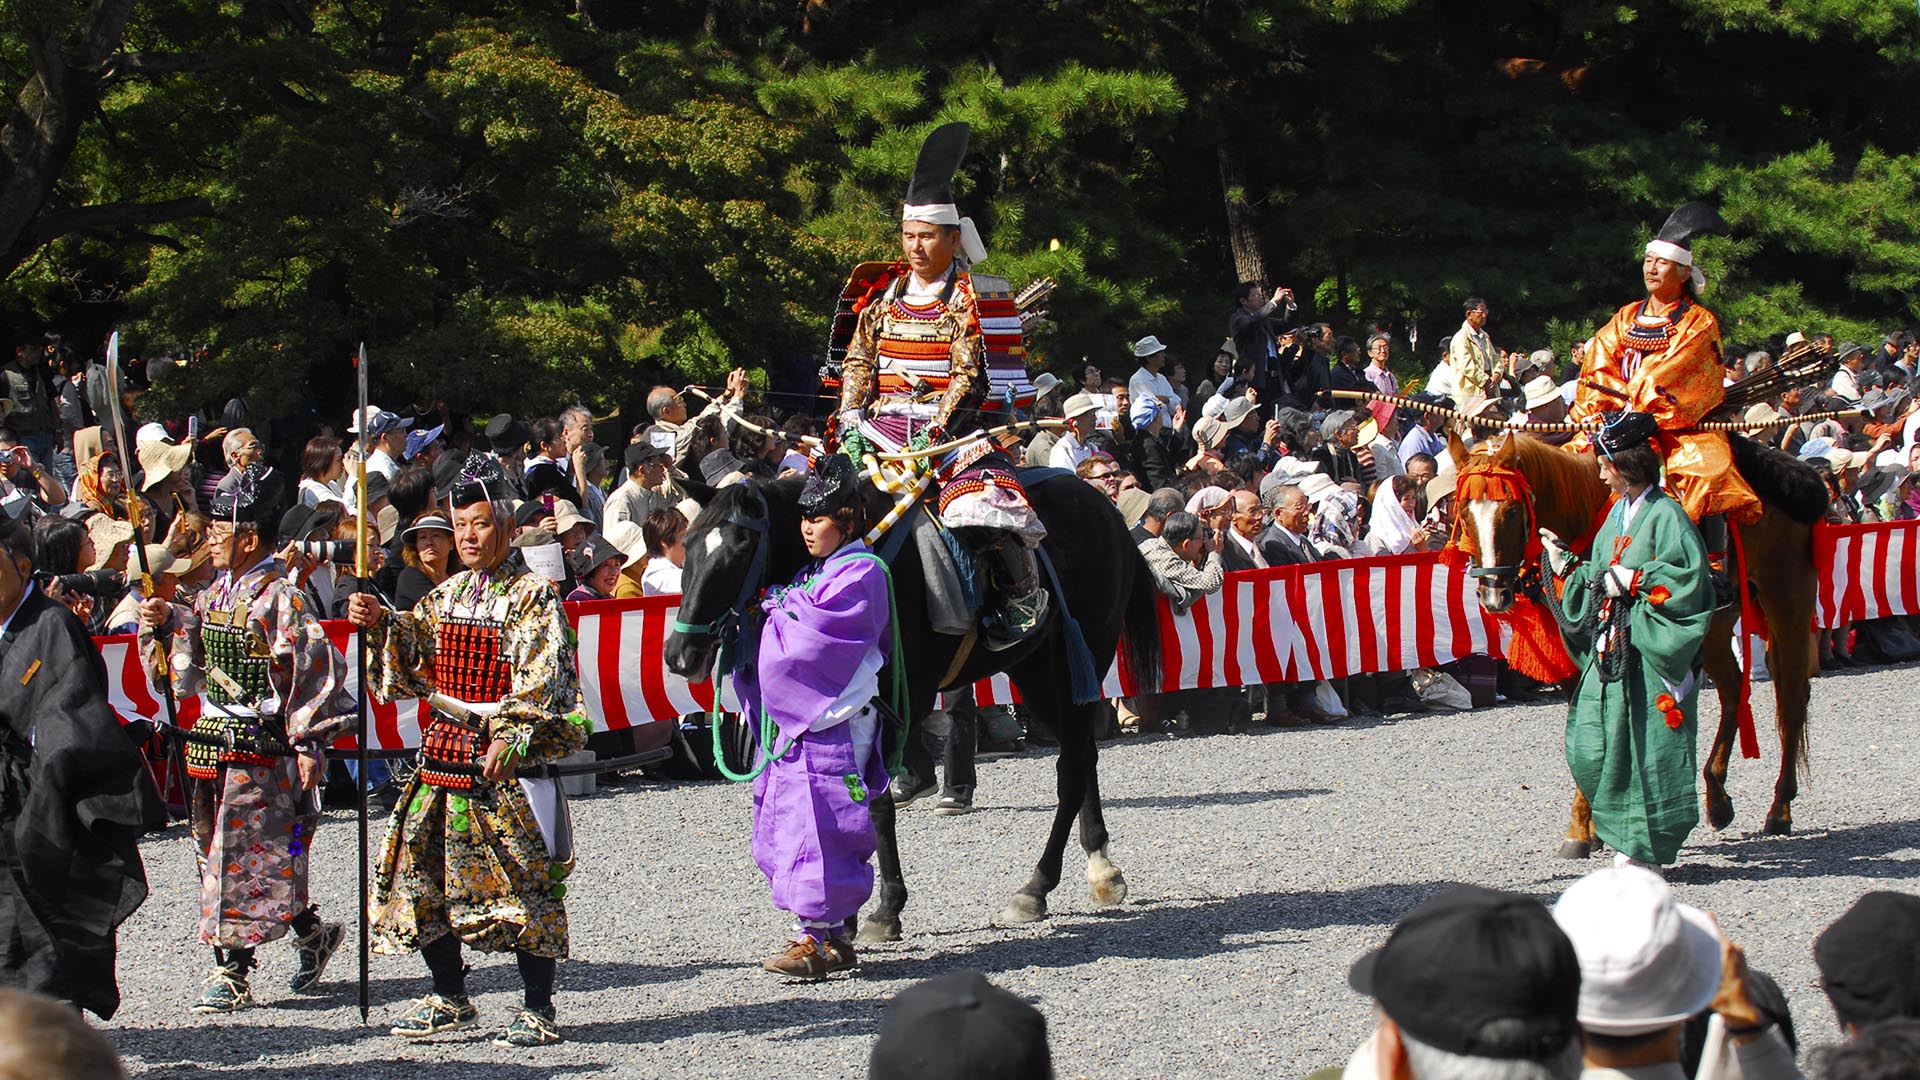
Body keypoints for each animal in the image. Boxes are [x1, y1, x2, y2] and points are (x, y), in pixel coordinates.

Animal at [660, 468, 1167, 933]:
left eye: (740, 547)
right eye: (689, 543)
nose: (680, 654)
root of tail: (1106, 510)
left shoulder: (903, 697)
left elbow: (877, 802)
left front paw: (884, 909)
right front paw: (844, 913)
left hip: (1078, 657)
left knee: (1072, 766)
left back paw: (1037, 886)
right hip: (1037, 669)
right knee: (1082, 757)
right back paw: (1101, 867)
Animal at [1451, 428, 1827, 849]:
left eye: (1513, 510)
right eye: (1464, 510)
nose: (1493, 594)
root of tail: (1797, 472)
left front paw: (1584, 828)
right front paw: (1588, 825)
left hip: (1787, 597)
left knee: (1791, 699)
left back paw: (1780, 808)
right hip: (1713, 623)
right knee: (1733, 692)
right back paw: (1717, 798)